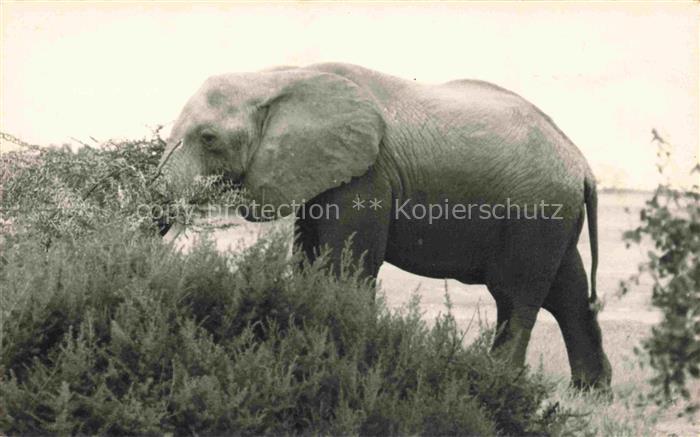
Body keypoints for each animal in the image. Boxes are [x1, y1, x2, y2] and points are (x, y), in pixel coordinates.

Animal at [157, 62, 612, 389]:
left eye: (209, 139)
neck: (279, 76)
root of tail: (582, 164)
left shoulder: (368, 174)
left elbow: (348, 269)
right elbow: (309, 263)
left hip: (536, 211)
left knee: (516, 296)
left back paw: (499, 385)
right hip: (551, 215)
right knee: (568, 294)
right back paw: (590, 394)